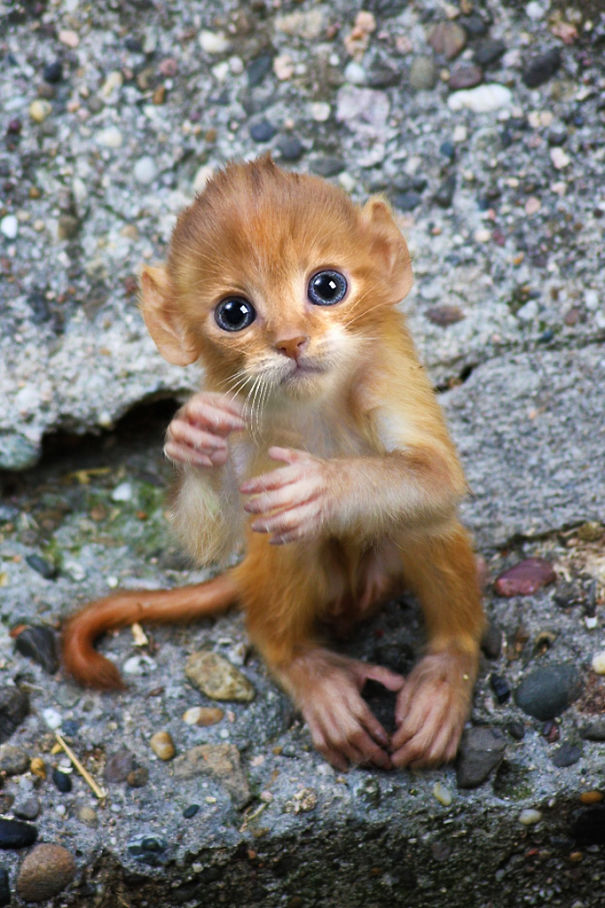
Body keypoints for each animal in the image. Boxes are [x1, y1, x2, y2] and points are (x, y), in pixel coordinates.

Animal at [63, 156, 485, 771]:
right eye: (234, 312)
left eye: (327, 286)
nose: (290, 341)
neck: (315, 407)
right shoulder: (234, 406)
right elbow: (207, 537)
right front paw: (192, 437)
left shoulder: (389, 372)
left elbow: (437, 476)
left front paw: (321, 486)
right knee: (285, 548)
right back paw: (310, 672)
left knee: (422, 519)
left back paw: (445, 673)